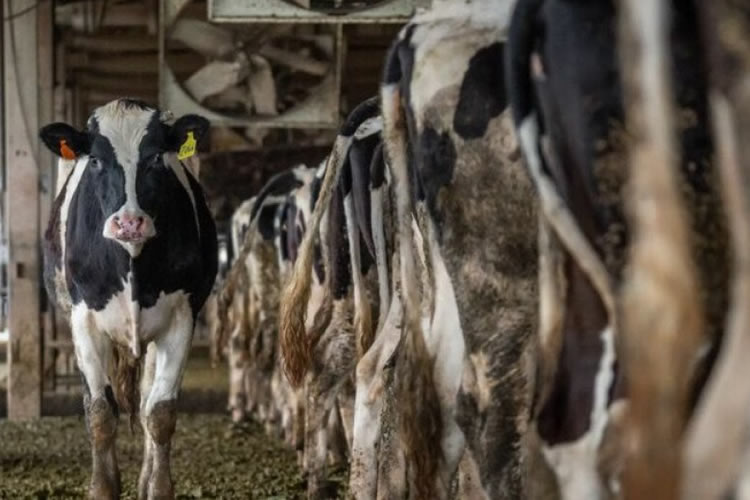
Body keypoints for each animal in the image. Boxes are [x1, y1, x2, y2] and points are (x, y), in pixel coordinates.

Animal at [39, 98, 218, 500]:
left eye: (156, 158)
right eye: (95, 160)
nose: (129, 222)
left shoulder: (181, 318)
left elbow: (161, 412)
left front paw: (159, 488)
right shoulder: (84, 320)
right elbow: (100, 413)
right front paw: (102, 488)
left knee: (148, 395)